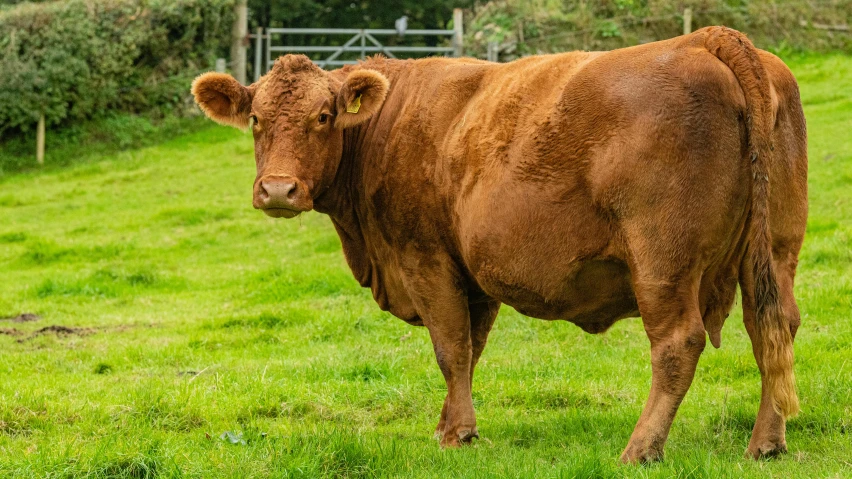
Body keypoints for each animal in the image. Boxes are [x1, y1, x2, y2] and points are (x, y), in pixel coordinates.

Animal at [191, 27, 804, 464]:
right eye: (255, 119)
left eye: (323, 117)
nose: (278, 190)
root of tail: (706, 38)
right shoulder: (472, 274)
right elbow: (471, 346)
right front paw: (448, 424)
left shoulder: (425, 257)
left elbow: (451, 347)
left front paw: (458, 433)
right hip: (774, 249)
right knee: (772, 326)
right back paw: (766, 443)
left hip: (663, 258)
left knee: (679, 343)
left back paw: (640, 449)